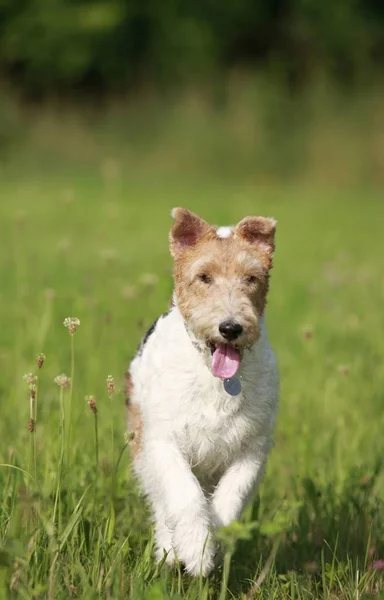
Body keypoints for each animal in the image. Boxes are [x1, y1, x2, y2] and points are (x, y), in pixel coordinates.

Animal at [126, 207, 280, 576]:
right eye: (204, 277)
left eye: (251, 277)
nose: (231, 328)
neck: (215, 377)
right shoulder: (164, 441)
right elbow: (184, 496)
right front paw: (196, 549)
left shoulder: (252, 449)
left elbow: (228, 500)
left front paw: (213, 543)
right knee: (163, 504)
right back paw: (170, 551)